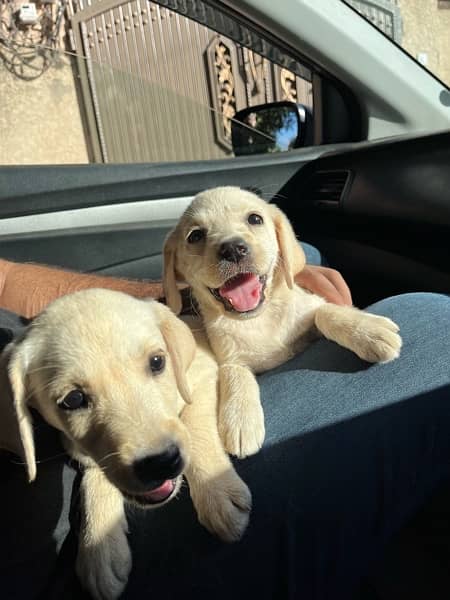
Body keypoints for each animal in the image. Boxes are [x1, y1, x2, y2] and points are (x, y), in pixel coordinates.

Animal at [0, 290, 251, 600]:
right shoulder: (78, 447)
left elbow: (194, 426)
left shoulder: (203, 371)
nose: (160, 463)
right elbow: (94, 476)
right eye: (73, 399)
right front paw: (99, 542)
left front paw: (217, 491)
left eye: (157, 362)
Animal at [163, 188, 402, 460]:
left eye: (255, 219)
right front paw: (241, 419)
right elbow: (235, 373)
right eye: (195, 236)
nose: (233, 249)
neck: (259, 320)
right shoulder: (229, 357)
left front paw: (369, 332)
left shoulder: (311, 307)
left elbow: (323, 312)